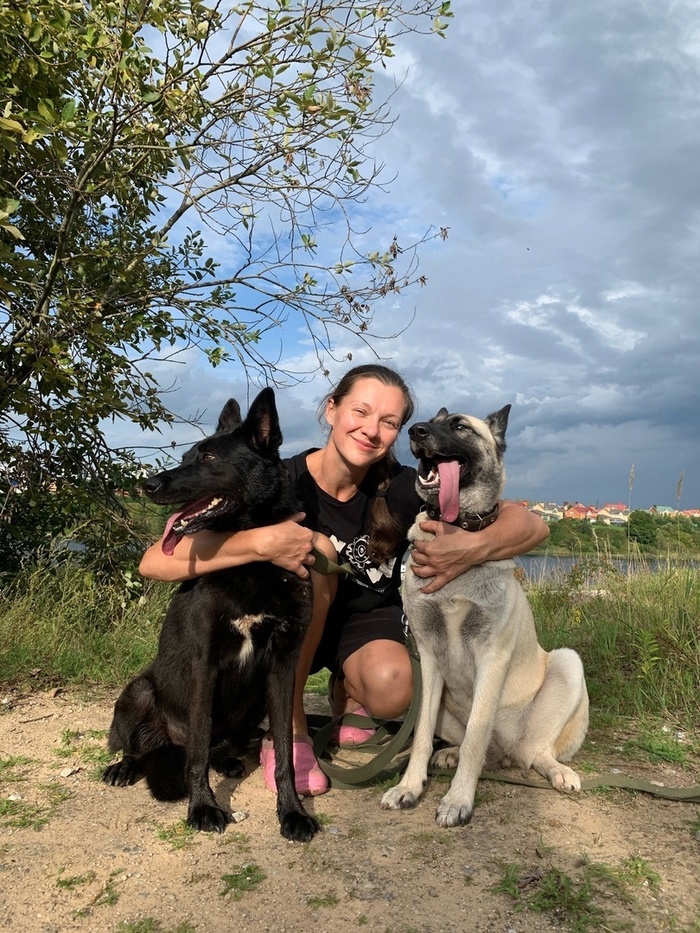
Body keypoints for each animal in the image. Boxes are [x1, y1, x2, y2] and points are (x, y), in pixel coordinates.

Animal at [103, 388, 320, 843]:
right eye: (185, 455)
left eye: (206, 458)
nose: (146, 484)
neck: (254, 563)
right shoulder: (205, 665)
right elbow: (198, 749)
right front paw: (202, 806)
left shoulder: (282, 668)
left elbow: (286, 754)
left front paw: (292, 812)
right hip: (139, 692)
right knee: (148, 747)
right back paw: (125, 767)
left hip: (252, 704)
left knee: (220, 744)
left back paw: (229, 760)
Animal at [381, 404, 589, 827]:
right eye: (428, 421)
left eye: (459, 426)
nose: (416, 430)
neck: (453, 528)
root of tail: (509, 753)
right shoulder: (428, 659)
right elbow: (422, 734)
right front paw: (410, 786)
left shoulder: (491, 657)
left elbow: (477, 736)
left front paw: (458, 799)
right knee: (471, 745)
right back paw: (448, 753)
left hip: (567, 666)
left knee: (534, 752)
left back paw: (557, 771)